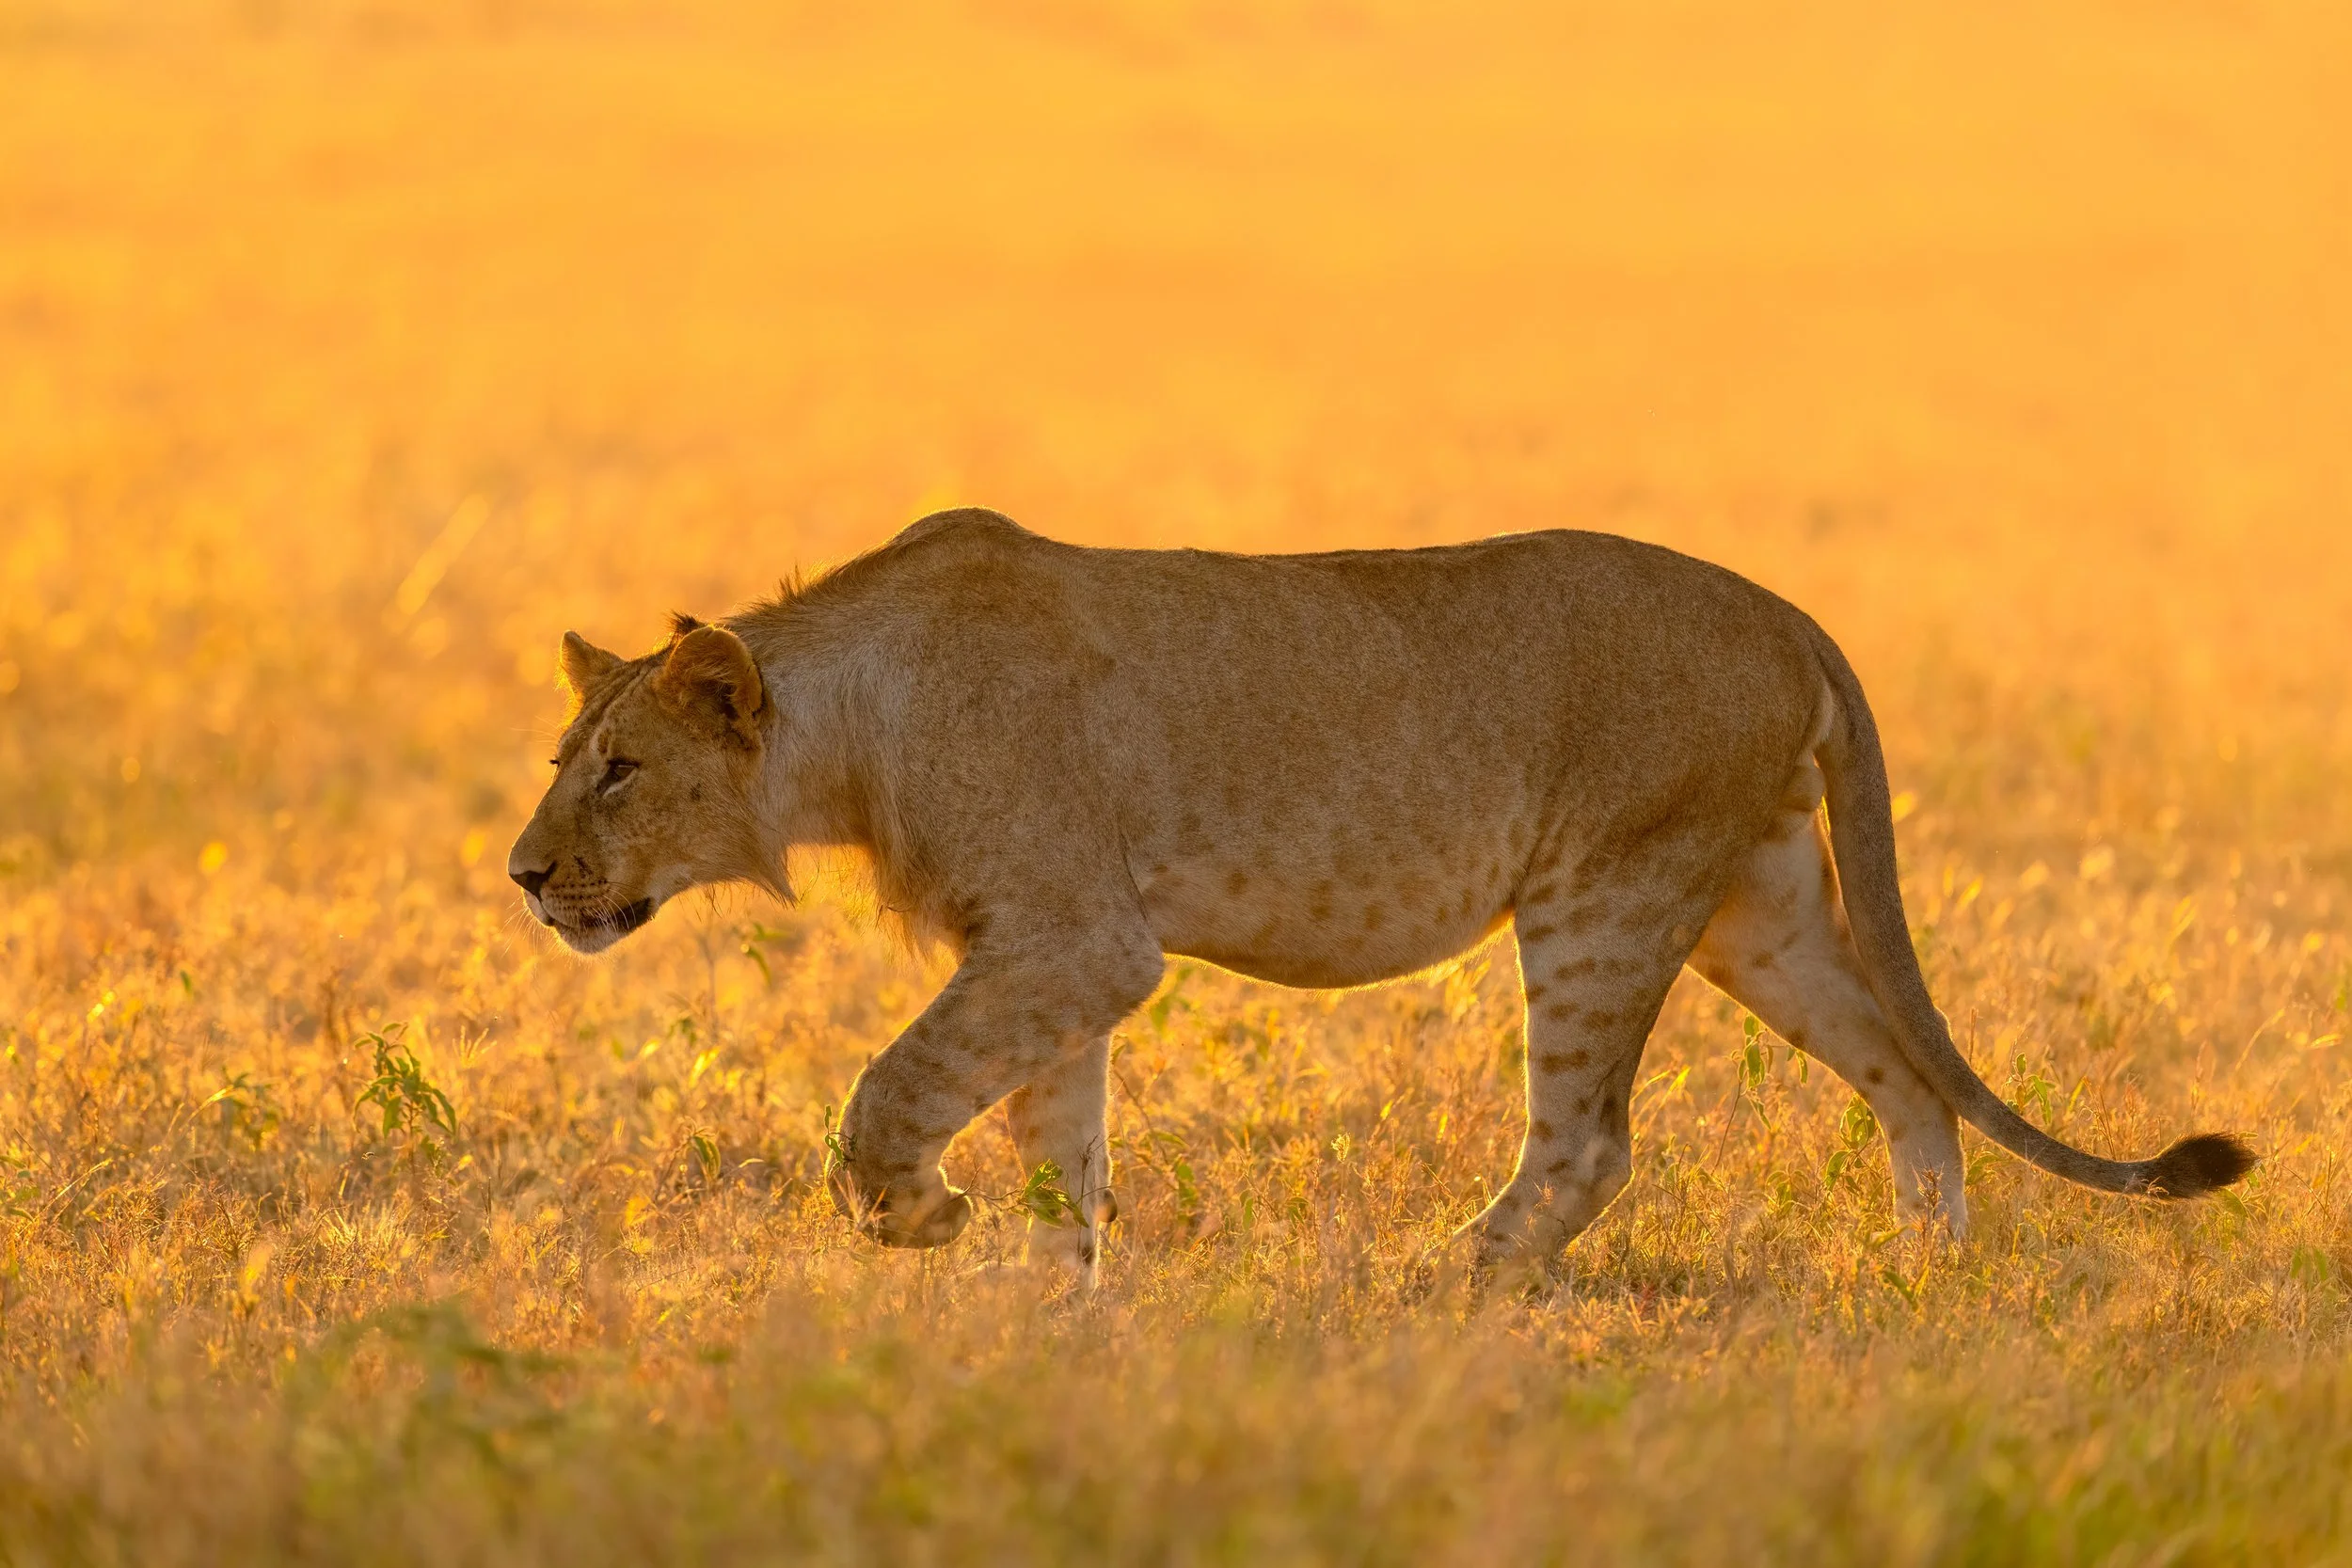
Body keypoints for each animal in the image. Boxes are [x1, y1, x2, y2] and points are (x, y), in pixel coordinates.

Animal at [509, 509, 2254, 1277]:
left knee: (1590, 1143)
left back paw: (1442, 1279)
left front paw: (921, 1218)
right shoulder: (1047, 958)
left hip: (1604, 894)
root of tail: (1782, 605)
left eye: (621, 769)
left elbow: (892, 1088)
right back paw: (1921, 1272)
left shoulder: (1081, 940)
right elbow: (1058, 1148)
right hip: (1751, 903)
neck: (848, 724)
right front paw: (1054, 1311)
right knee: (1907, 1068)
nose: (525, 876)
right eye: (567, 757)